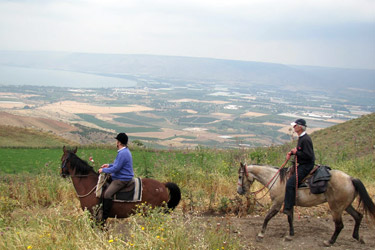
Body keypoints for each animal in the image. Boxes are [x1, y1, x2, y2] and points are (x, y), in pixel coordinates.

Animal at [238, 162, 375, 246]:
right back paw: (358, 237)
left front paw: (261, 235)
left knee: (339, 225)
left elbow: (267, 217)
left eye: (240, 176)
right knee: (358, 216)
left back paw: (329, 241)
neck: (277, 180)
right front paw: (290, 235)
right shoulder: (289, 204)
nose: (239, 191)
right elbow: (290, 219)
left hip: (336, 208)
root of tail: (350, 178)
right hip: (345, 205)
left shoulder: (277, 203)